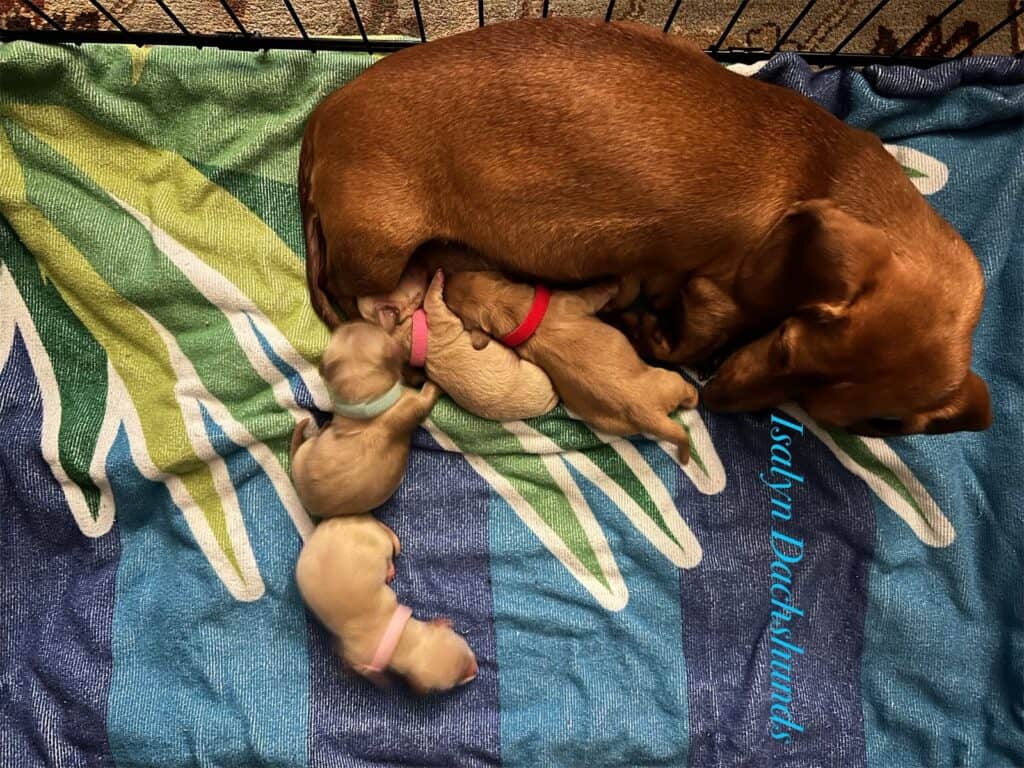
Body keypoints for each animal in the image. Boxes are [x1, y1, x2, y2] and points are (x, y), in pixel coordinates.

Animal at [446, 272, 696, 460]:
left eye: (472, 273)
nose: (447, 278)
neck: (512, 312)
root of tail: (649, 415)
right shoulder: (579, 300)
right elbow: (600, 290)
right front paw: (615, 280)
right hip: (671, 380)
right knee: (689, 393)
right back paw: (693, 396)